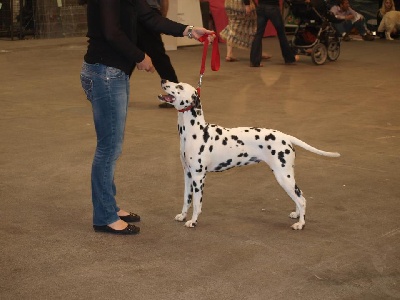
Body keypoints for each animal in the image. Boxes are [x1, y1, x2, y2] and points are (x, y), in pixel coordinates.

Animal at [158, 79, 340, 230]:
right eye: (176, 82)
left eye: (179, 87)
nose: (163, 80)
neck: (194, 131)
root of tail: (286, 137)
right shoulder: (188, 174)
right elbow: (186, 199)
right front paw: (183, 216)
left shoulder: (198, 176)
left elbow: (197, 203)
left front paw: (193, 221)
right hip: (287, 177)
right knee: (298, 196)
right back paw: (297, 215)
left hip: (283, 176)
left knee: (302, 199)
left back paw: (300, 224)